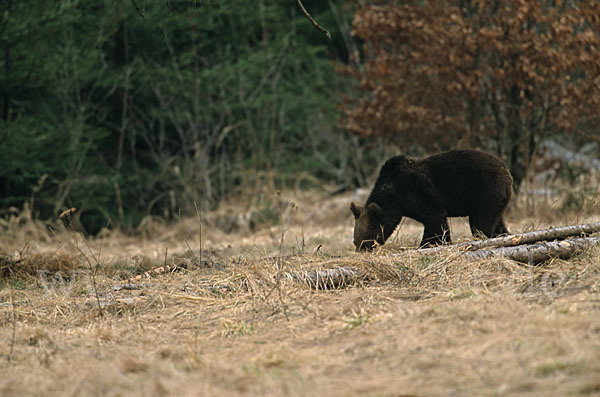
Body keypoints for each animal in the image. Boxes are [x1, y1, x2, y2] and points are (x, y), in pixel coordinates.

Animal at [350, 149, 512, 251]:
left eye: (366, 239)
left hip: (485, 193)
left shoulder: (419, 194)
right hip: (496, 200)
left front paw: (427, 245)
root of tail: (506, 171)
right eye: (355, 241)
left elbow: (434, 222)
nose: (361, 250)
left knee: (481, 223)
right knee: (498, 223)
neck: (394, 198)